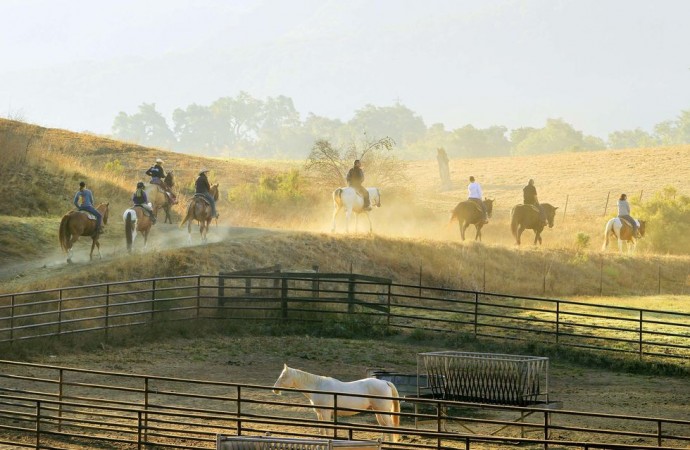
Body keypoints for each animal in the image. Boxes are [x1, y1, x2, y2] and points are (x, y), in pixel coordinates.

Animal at [270, 364, 398, 442]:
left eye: (283, 376)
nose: (275, 389)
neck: (318, 386)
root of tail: (385, 382)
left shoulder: (326, 412)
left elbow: (327, 429)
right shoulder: (319, 413)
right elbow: (321, 430)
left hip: (383, 412)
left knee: (389, 426)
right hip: (378, 412)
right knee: (384, 427)